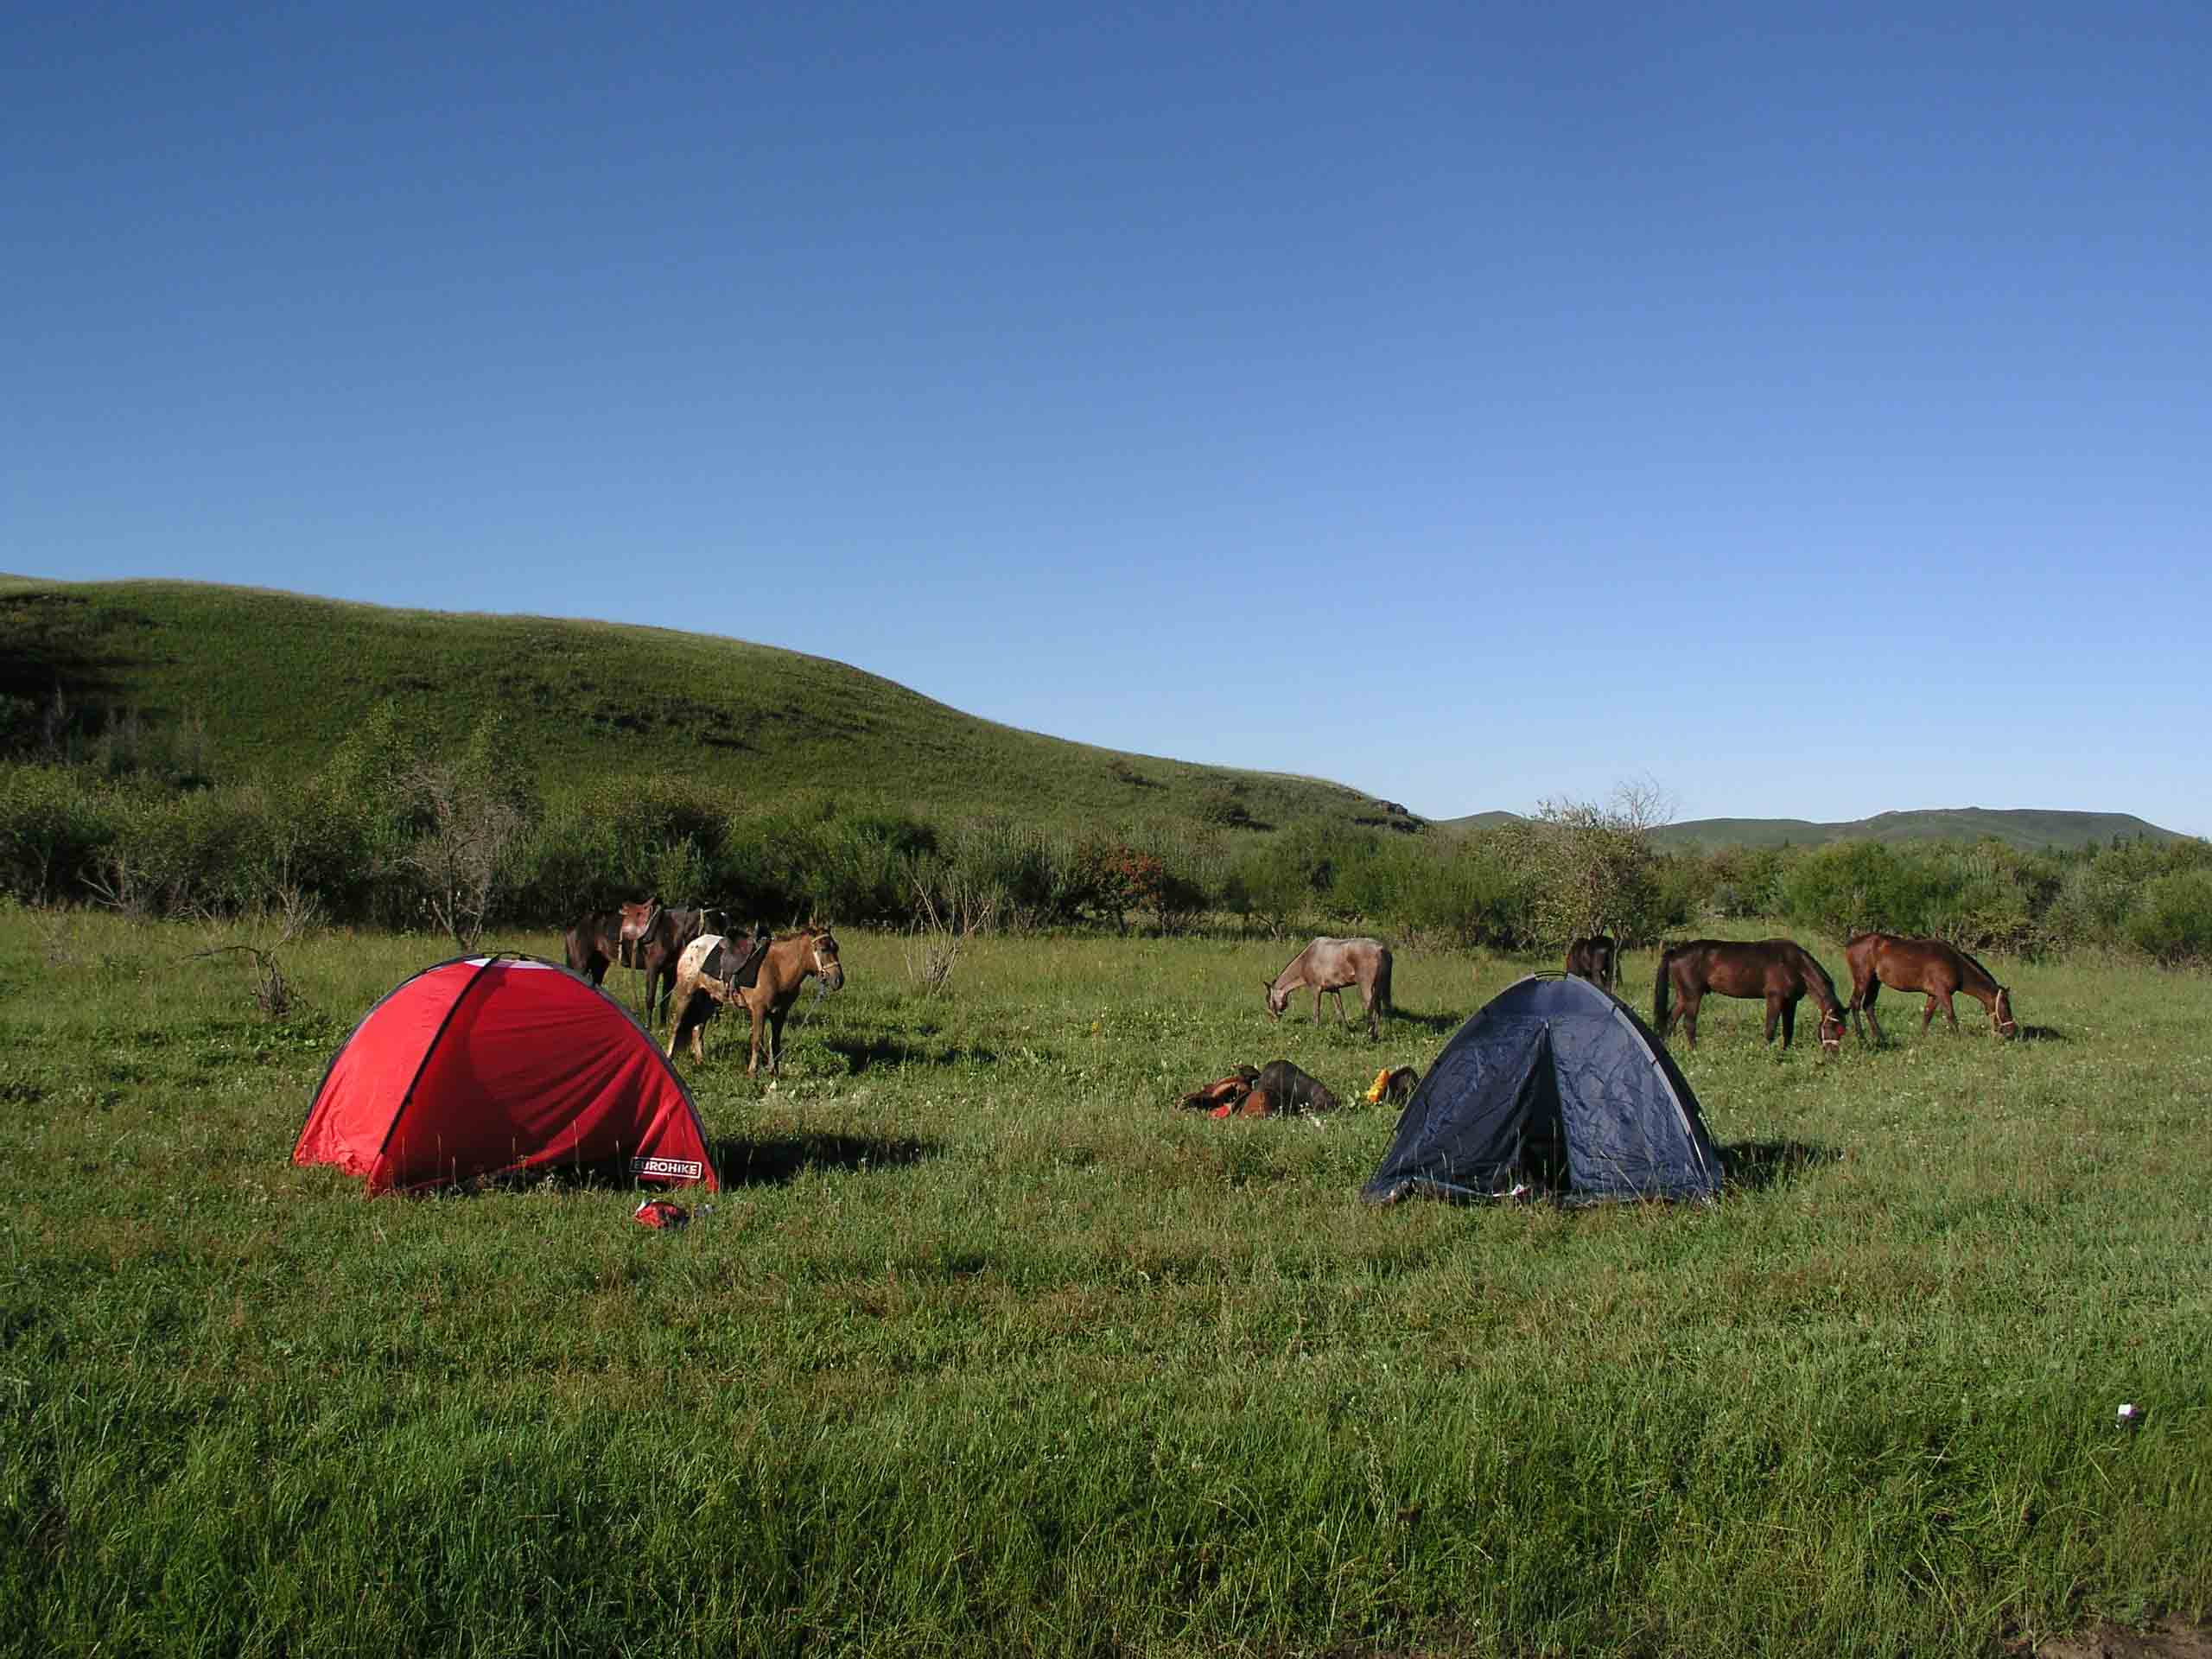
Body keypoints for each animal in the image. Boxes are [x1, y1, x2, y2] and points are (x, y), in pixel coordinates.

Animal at [562, 898, 725, 1026]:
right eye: (712, 923)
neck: (671, 931)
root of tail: (574, 925)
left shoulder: (669, 972)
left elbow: (665, 1002)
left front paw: (662, 1027)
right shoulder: (653, 969)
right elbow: (650, 999)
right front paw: (648, 1027)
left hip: (600, 965)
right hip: (580, 965)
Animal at [739, 925, 849, 1079]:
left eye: (836, 948)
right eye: (823, 949)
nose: (838, 980)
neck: (777, 969)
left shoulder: (780, 1013)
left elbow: (775, 1043)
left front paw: (774, 1073)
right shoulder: (758, 1011)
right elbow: (757, 1041)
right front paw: (752, 1073)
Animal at [1274, 938, 1389, 1039]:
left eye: (1272, 1000)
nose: (1275, 1020)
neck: (1305, 961)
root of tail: (1381, 949)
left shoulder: (1315, 990)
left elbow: (1316, 1012)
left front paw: (1315, 1031)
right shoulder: (1334, 989)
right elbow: (1340, 1010)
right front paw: (1346, 1031)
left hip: (1367, 987)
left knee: (1371, 1009)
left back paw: (1369, 1035)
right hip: (1378, 989)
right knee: (1378, 1010)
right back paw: (1376, 1035)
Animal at [1654, 942, 1858, 1057]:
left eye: (1842, 1030)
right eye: (1833, 1028)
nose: (1832, 1056)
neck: (1794, 964)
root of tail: (1675, 952)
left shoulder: (1790, 1002)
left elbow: (1788, 1030)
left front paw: (1785, 1053)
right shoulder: (1774, 998)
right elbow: (1770, 1029)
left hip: (1683, 996)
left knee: (1670, 1021)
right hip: (1693, 995)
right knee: (1689, 1024)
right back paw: (1695, 1051)